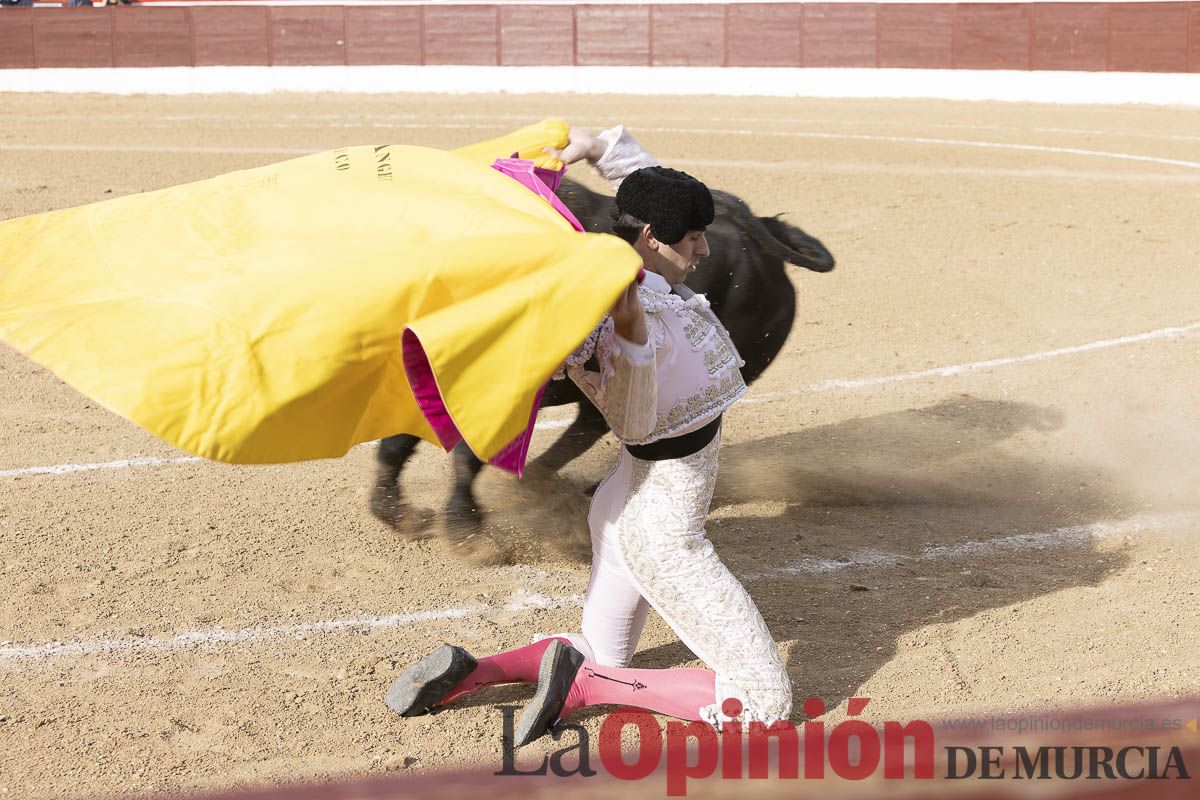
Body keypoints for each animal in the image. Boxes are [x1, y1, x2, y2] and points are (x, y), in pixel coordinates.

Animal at [367, 175, 835, 551]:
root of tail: (760, 235)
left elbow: (464, 455)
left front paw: (466, 535)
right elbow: (397, 443)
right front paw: (397, 513)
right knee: (588, 428)